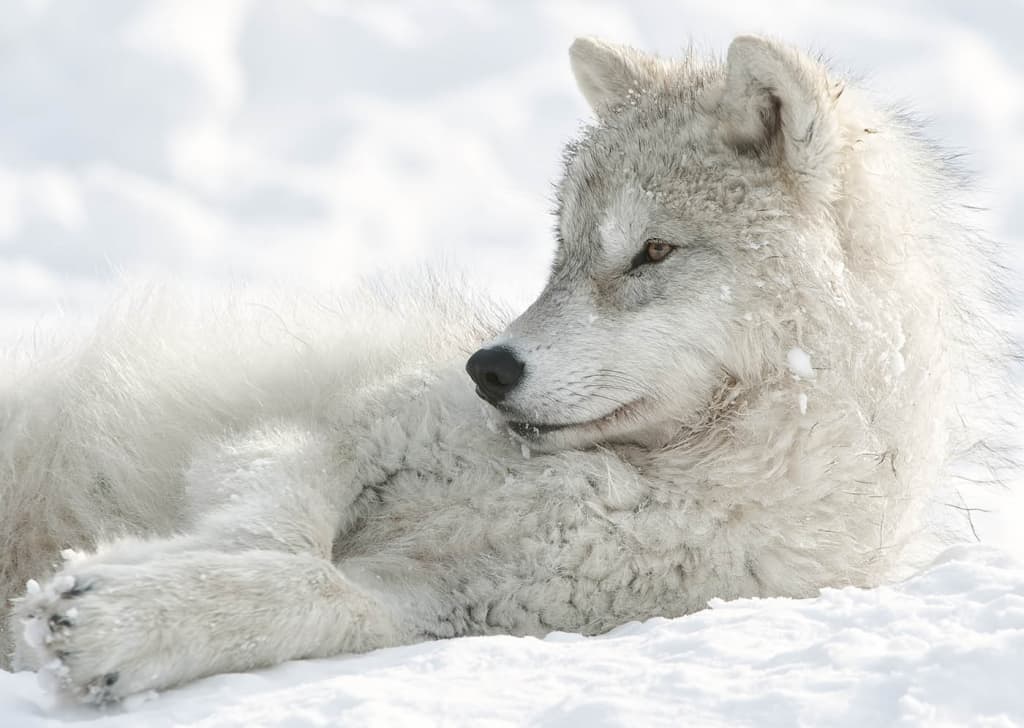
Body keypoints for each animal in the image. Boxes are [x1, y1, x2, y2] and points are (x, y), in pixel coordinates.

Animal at [0, 34, 1007, 700]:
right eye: (563, 250)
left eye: (651, 252)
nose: (485, 368)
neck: (642, 478)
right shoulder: (322, 429)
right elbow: (278, 534)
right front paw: (128, 580)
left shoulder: (441, 605)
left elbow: (318, 590)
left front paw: (123, 620)